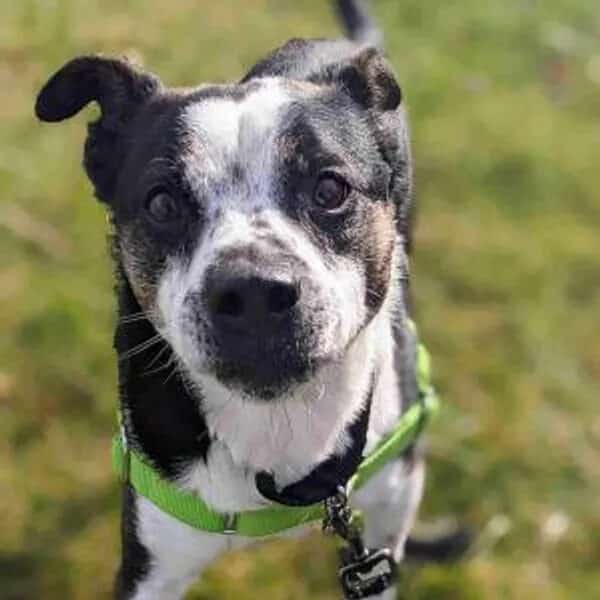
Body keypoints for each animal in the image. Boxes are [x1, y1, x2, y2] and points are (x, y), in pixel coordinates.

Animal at [34, 2, 454, 596]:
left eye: (330, 189)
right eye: (161, 203)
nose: (254, 291)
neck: (277, 425)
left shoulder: (386, 526)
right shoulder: (152, 562)